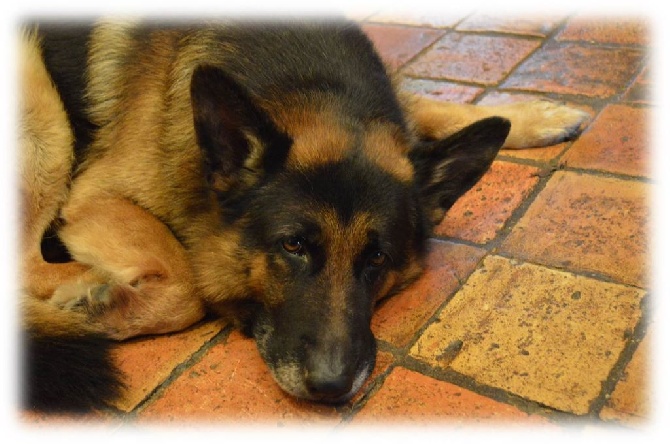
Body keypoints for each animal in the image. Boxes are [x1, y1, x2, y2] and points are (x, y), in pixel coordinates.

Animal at [18, 18, 592, 412]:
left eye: (377, 257)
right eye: (292, 246)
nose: (332, 387)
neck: (314, 83)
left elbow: (431, 105)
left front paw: (536, 114)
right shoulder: (96, 197)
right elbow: (187, 283)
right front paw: (107, 305)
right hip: (38, 99)